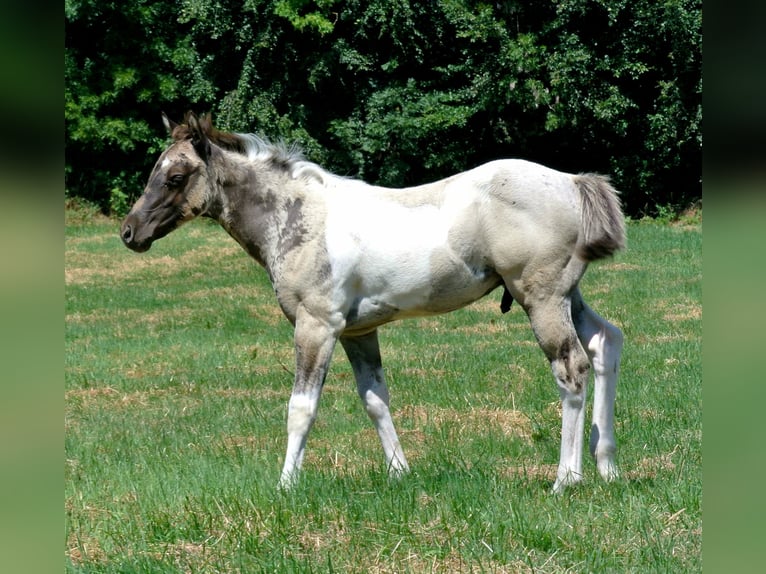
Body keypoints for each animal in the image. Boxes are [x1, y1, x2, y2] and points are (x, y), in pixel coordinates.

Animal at [121, 111, 626, 492]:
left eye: (176, 176)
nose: (130, 232)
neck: (300, 217)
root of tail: (571, 182)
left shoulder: (316, 325)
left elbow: (301, 407)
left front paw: (286, 485)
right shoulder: (358, 332)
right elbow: (375, 399)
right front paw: (399, 472)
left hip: (540, 298)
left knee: (571, 368)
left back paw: (566, 479)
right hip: (566, 295)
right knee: (606, 342)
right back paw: (607, 467)